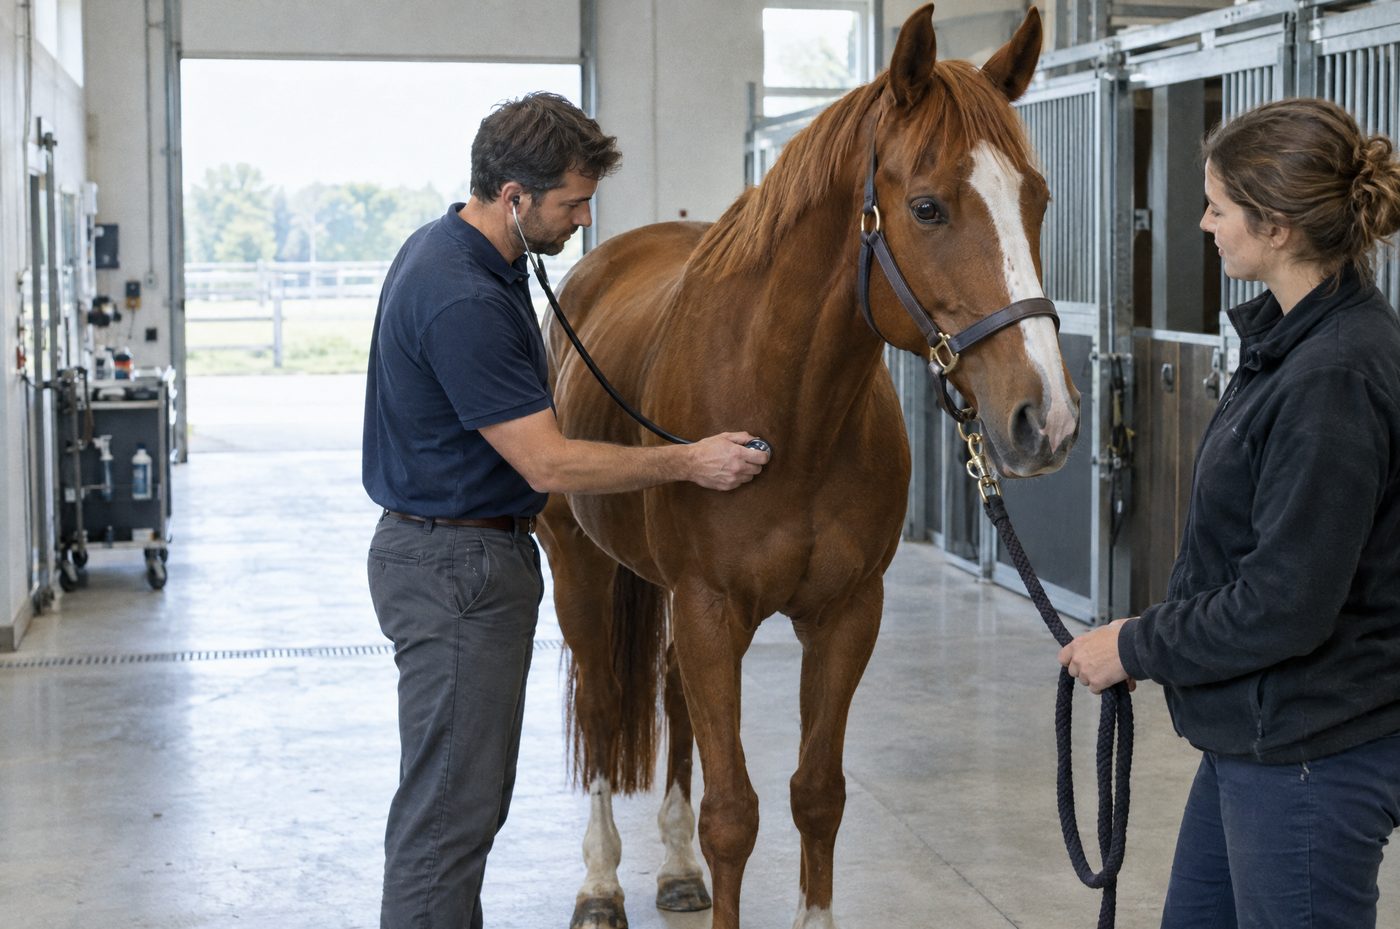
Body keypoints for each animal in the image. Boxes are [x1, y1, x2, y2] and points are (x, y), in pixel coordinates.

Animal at [536, 6, 1079, 928]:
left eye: (1036, 199)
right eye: (927, 207)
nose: (1046, 419)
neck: (787, 416)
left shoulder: (845, 613)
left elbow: (816, 794)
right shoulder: (710, 610)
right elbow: (733, 815)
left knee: (672, 700)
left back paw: (672, 867)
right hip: (580, 563)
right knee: (605, 704)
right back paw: (600, 883)